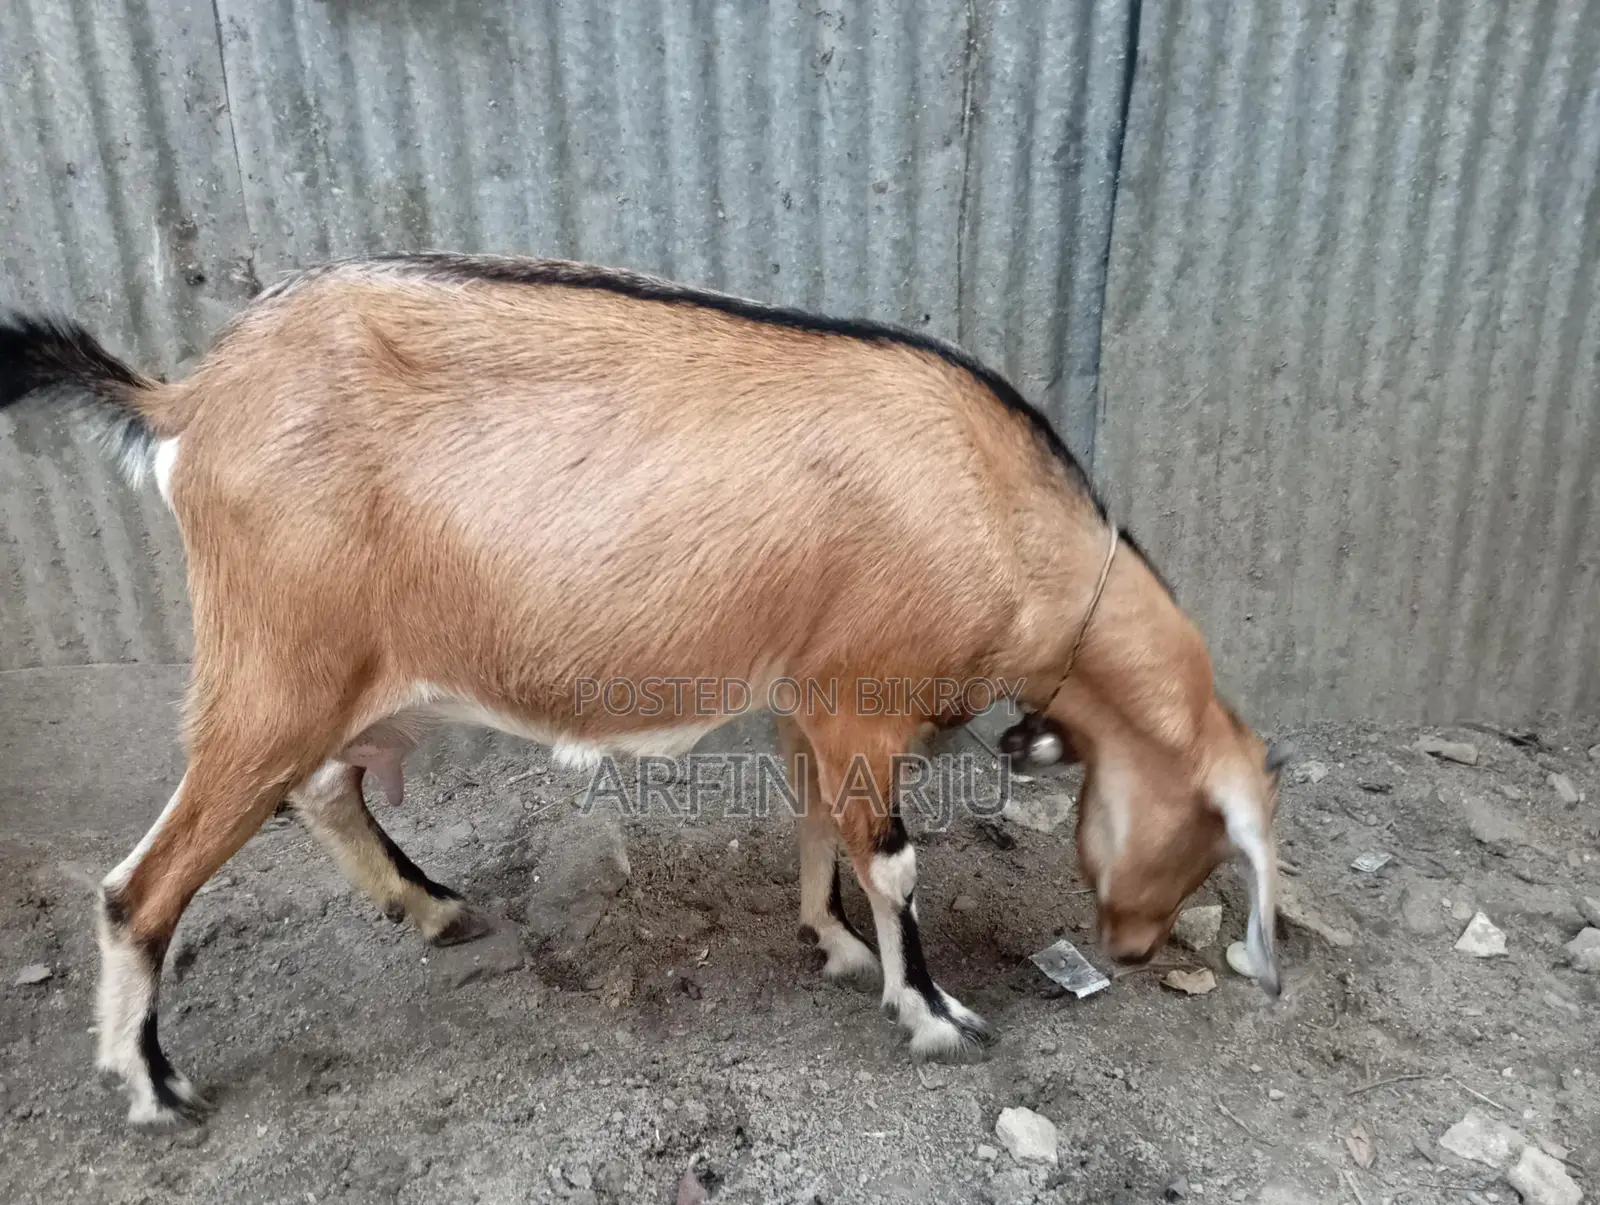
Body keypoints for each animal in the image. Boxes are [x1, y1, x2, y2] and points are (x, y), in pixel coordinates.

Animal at [0, 254, 1284, 1130]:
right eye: (1206, 838)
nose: (1130, 946)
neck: (1007, 516)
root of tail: (186, 400)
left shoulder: (810, 698)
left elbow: (820, 826)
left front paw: (832, 942)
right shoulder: (862, 698)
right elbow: (894, 859)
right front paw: (934, 1013)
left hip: (315, 670)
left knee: (319, 788)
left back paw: (433, 906)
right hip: (272, 666)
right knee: (141, 884)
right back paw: (155, 1085)